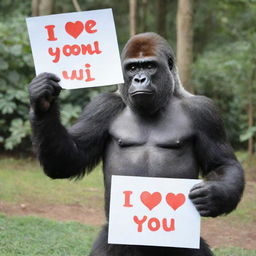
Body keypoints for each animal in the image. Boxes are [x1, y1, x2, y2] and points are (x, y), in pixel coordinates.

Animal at [28, 32, 244, 256]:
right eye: (132, 68)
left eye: (149, 66)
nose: (139, 79)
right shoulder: (102, 106)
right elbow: (70, 159)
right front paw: (43, 101)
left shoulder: (205, 111)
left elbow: (223, 163)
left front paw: (215, 196)